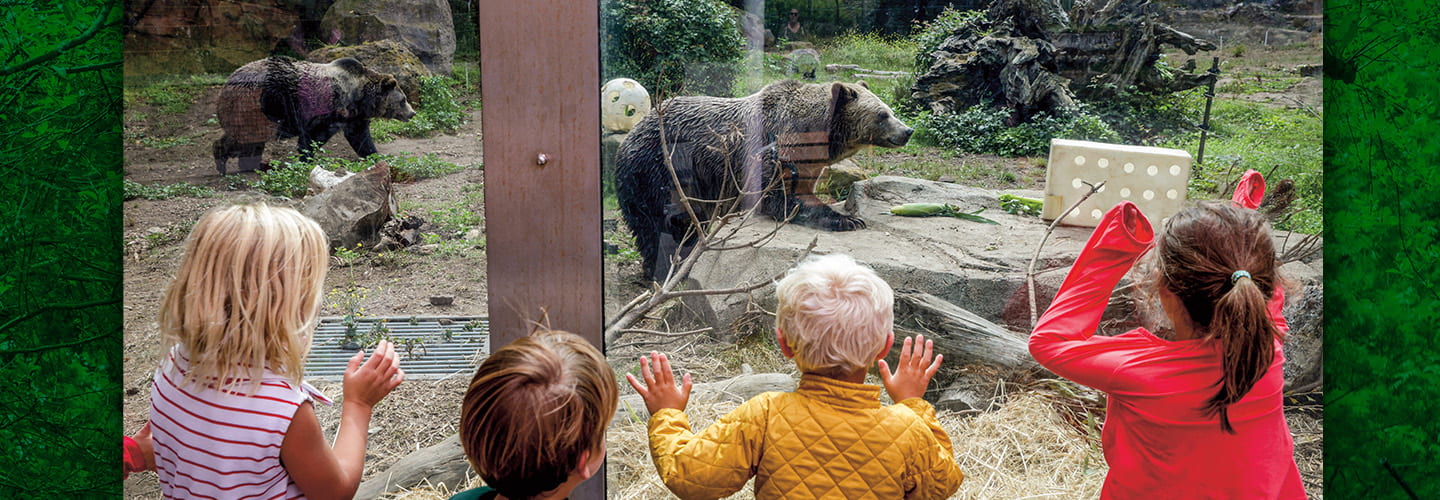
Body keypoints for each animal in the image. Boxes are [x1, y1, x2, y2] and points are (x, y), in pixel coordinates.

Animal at [213, 56, 416, 175]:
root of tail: (226, 84)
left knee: (250, 142)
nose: (412, 113)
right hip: (260, 105)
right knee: (246, 139)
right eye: (403, 99)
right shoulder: (328, 110)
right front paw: (306, 161)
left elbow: (360, 138)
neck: (359, 96)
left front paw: (375, 156)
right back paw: (224, 162)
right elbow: (313, 137)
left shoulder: (353, 117)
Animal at [614, 79, 914, 281]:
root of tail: (630, 136)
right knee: (663, 223)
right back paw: (670, 267)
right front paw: (849, 219)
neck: (814, 135)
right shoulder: (774, 150)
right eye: (882, 114)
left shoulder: (808, 164)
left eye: (889, 109)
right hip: (658, 170)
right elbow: (780, 199)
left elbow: (802, 192)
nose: (907, 131)